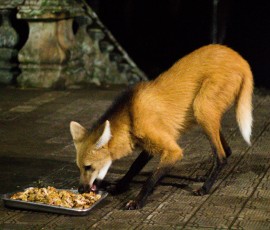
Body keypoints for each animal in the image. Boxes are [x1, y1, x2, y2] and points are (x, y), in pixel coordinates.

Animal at [69, 44, 253, 209]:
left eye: (88, 167)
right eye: (79, 168)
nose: (81, 189)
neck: (130, 115)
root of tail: (240, 59)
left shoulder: (172, 150)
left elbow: (151, 178)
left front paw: (137, 201)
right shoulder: (148, 143)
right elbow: (134, 167)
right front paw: (120, 187)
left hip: (201, 107)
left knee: (221, 156)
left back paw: (205, 188)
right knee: (227, 150)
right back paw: (206, 176)